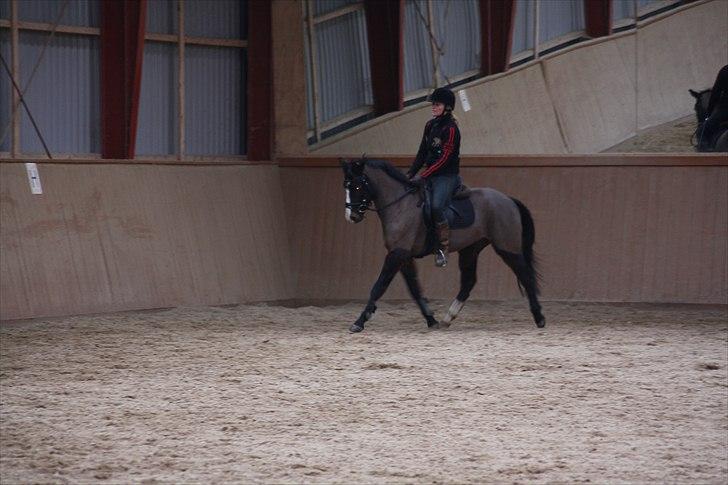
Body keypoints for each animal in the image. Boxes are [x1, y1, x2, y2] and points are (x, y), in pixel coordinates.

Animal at [342, 159, 544, 332]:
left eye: (357, 186)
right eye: (346, 186)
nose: (352, 216)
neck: (400, 204)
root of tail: (508, 199)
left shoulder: (397, 254)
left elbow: (379, 286)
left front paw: (359, 322)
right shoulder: (403, 256)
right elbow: (414, 288)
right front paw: (431, 320)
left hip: (507, 248)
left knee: (526, 276)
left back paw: (539, 317)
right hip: (470, 249)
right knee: (469, 282)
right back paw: (448, 318)